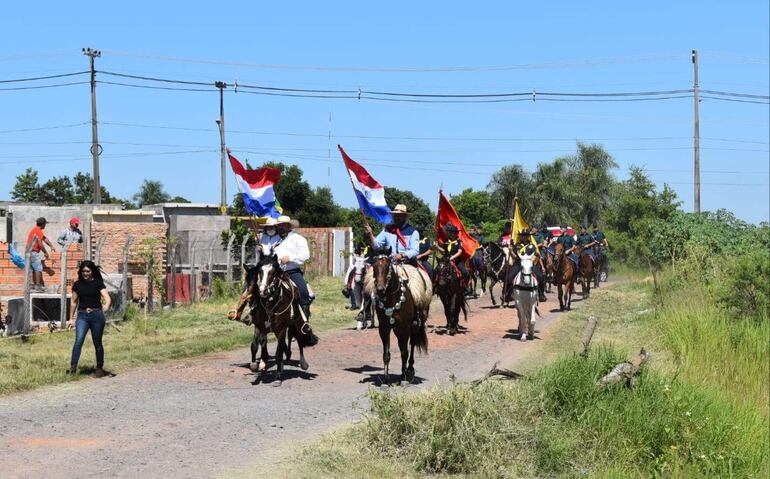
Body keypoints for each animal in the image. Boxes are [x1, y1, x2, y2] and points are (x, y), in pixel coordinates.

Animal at [368, 248, 428, 386]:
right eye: (374, 266)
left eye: (387, 266)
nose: (380, 289)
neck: (392, 299)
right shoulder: (384, 328)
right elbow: (386, 354)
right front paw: (385, 380)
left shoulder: (405, 327)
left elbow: (405, 352)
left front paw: (404, 379)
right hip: (397, 330)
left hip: (414, 327)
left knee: (411, 345)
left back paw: (409, 370)